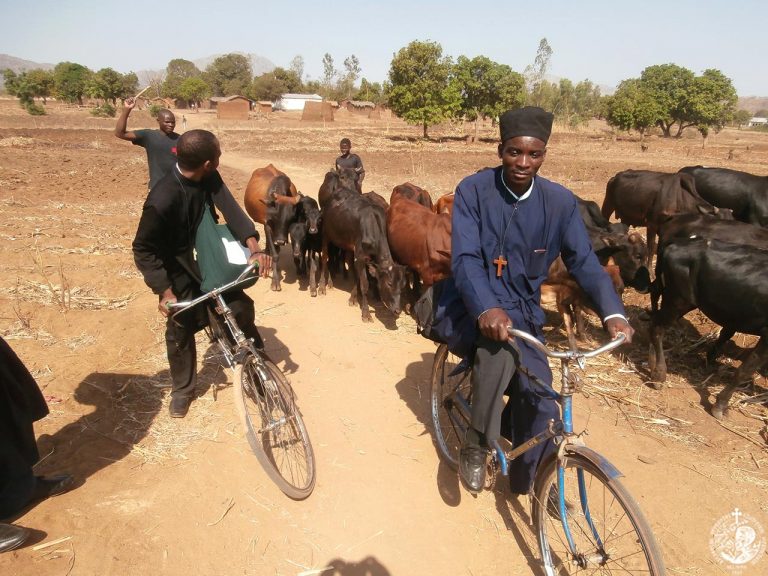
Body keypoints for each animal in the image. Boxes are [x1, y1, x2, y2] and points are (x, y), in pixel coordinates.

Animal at [648, 236, 768, 420]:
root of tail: (674, 245)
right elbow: (746, 370)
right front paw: (720, 405)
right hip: (678, 300)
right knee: (657, 328)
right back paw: (659, 375)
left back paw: (652, 363)